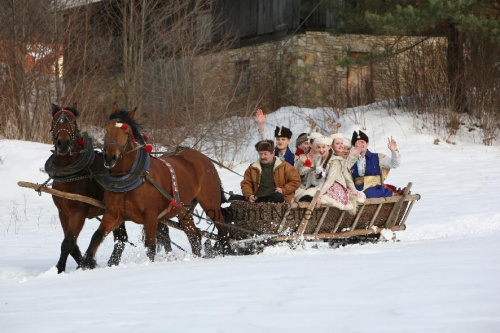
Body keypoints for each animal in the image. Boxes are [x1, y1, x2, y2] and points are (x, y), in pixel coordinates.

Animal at [46, 104, 130, 272]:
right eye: (55, 121)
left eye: (72, 121)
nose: (63, 143)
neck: (70, 175)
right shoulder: (63, 212)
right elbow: (72, 244)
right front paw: (85, 264)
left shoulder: (78, 212)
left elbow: (68, 242)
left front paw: (60, 269)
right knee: (121, 238)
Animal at [81, 106, 229, 268]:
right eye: (106, 130)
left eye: (126, 132)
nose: (109, 157)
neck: (133, 178)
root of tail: (205, 159)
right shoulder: (113, 214)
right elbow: (97, 236)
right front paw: (85, 263)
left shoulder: (150, 216)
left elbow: (150, 246)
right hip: (183, 209)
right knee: (194, 235)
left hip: (210, 202)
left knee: (222, 228)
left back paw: (226, 251)